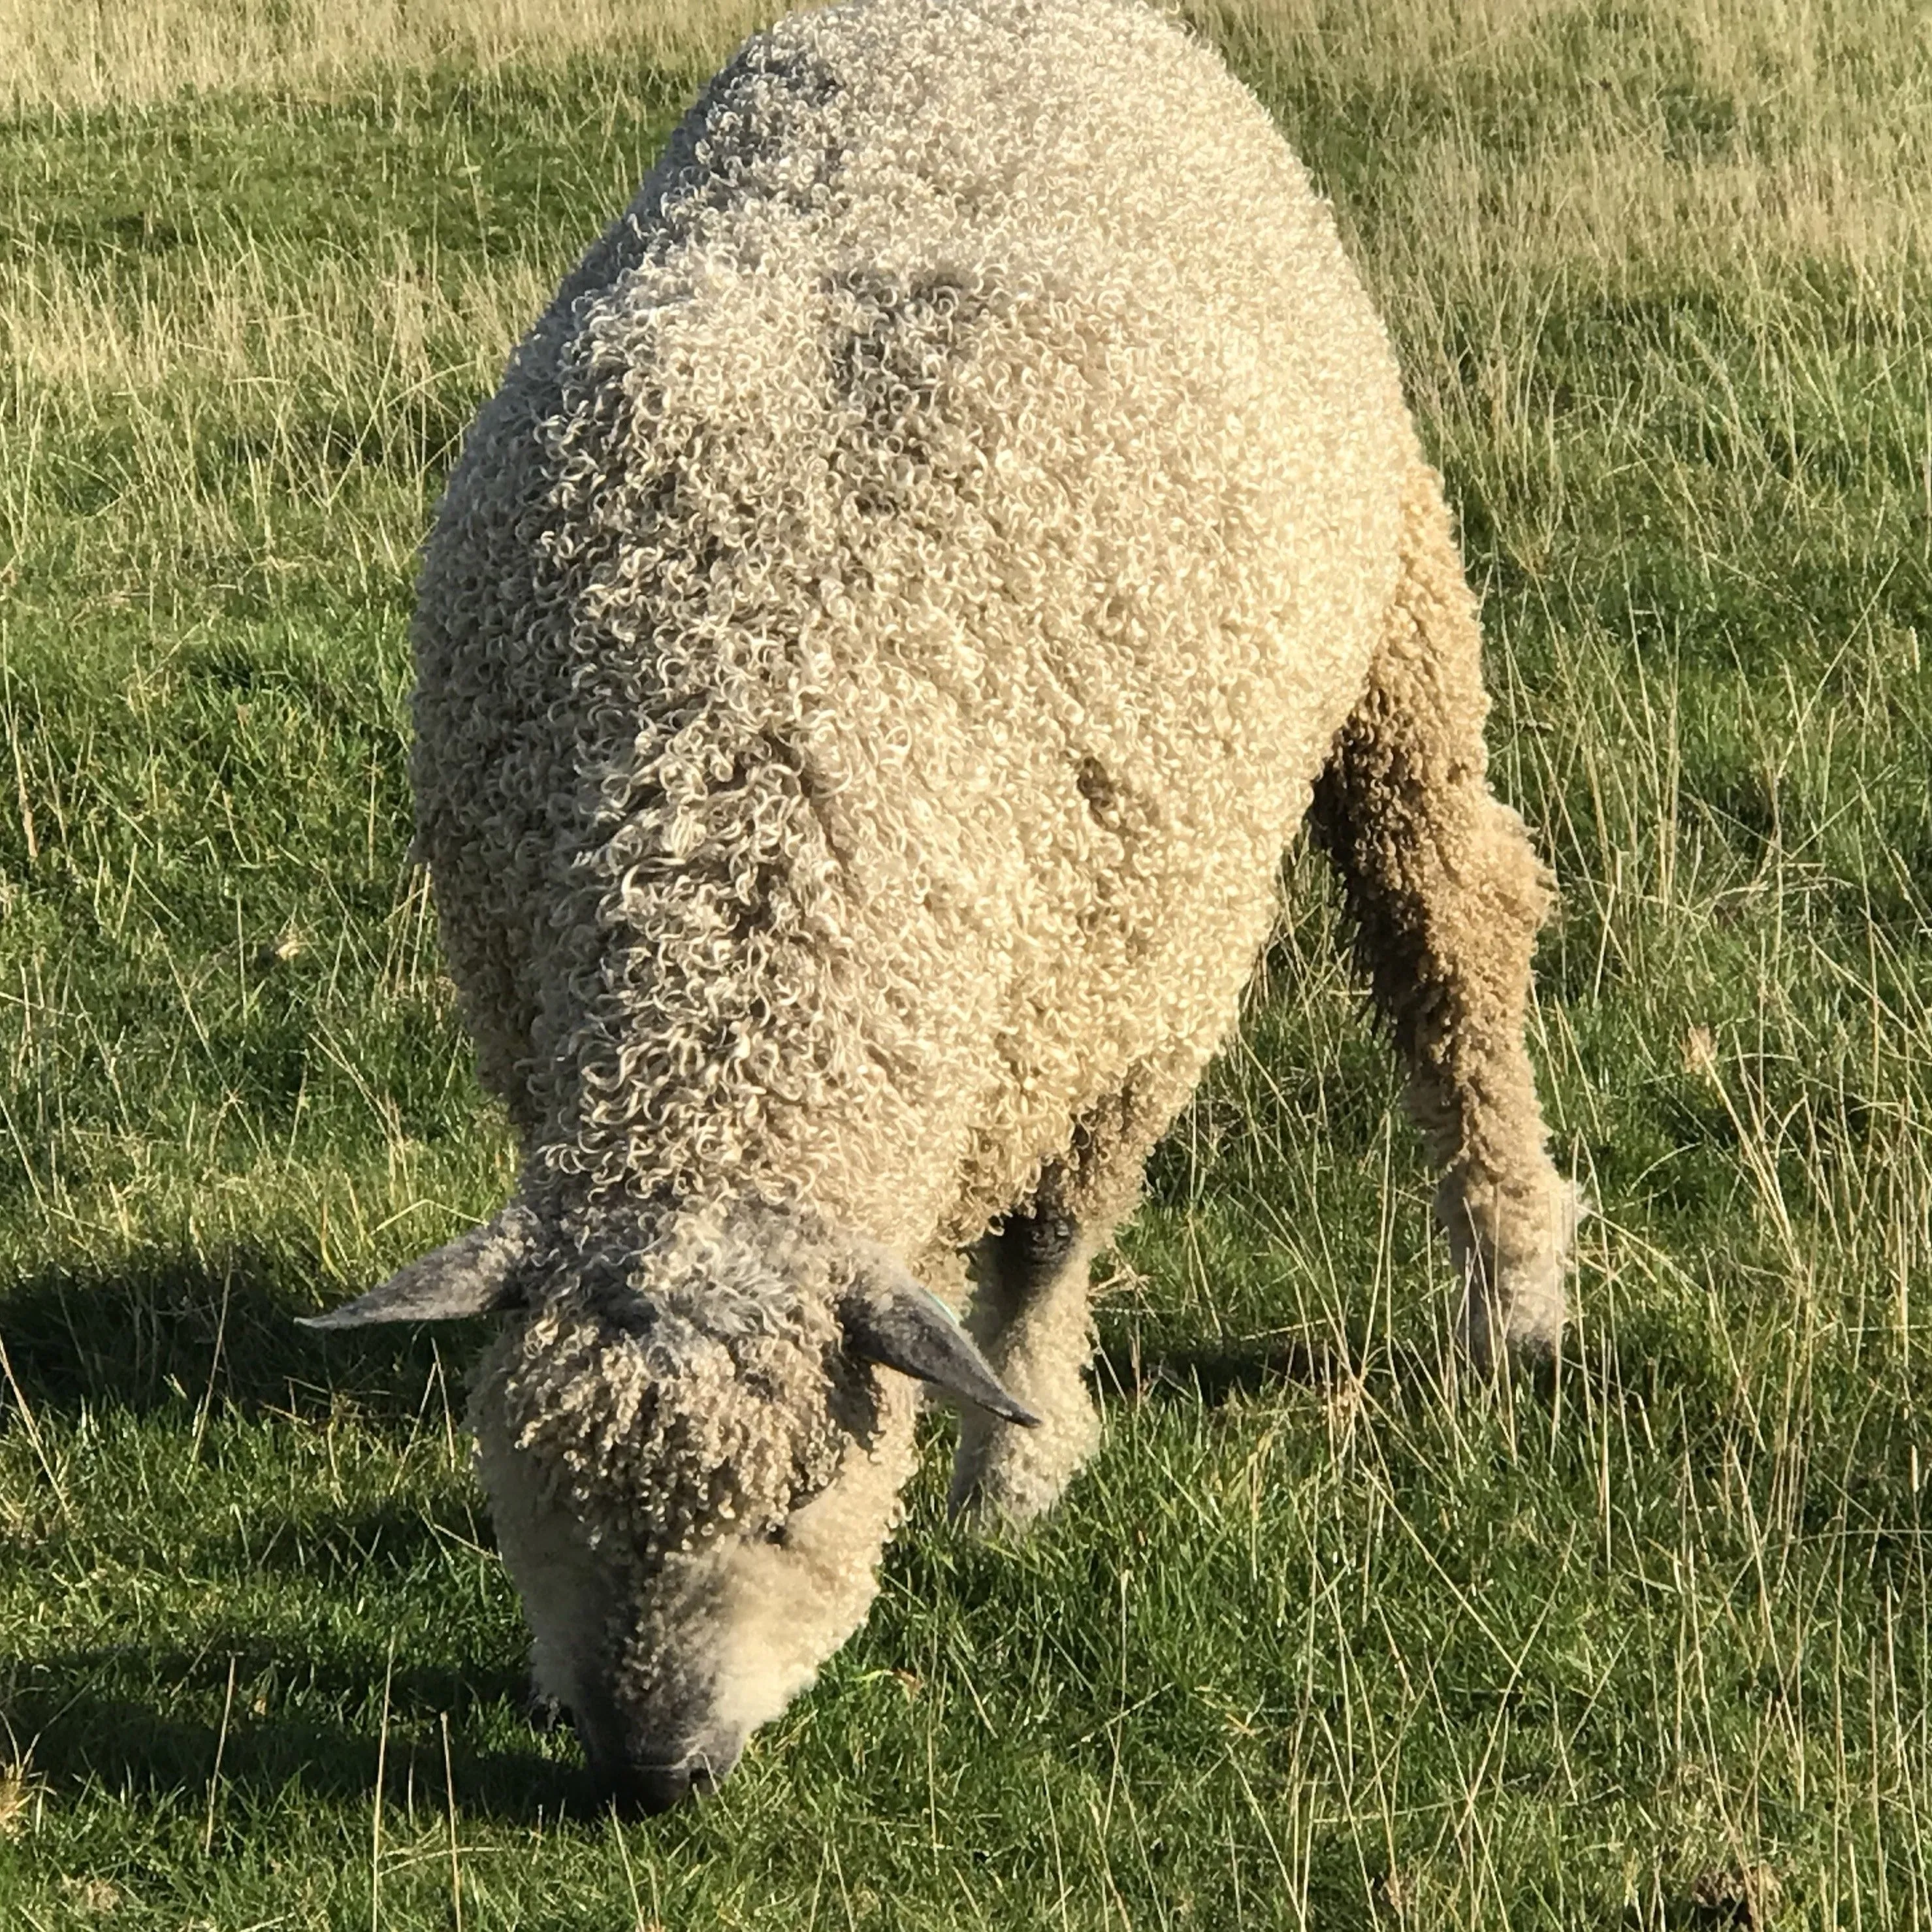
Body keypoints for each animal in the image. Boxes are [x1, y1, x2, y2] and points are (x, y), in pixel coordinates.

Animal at [301, 0, 1568, 1816]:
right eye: (533, 1499)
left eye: (794, 1511)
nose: (652, 1766)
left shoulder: (1124, 999)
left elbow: (1042, 1256)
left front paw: (1012, 1475)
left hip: (1392, 603)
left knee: (1450, 926)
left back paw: (1514, 1284)